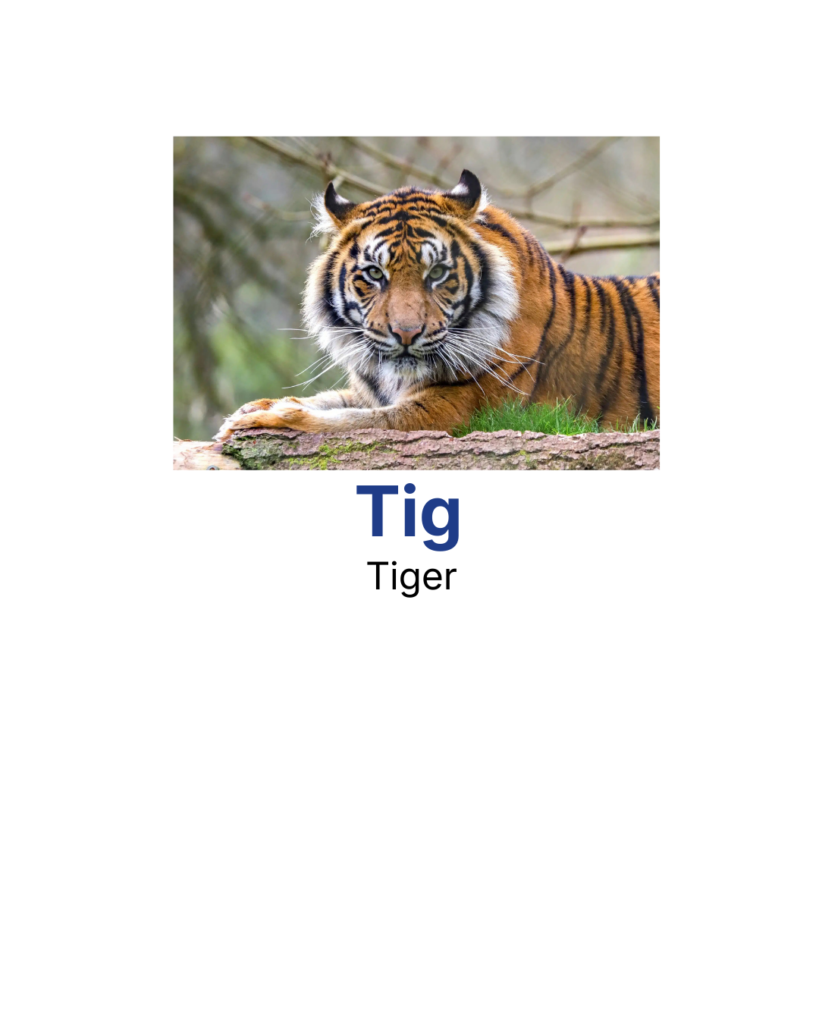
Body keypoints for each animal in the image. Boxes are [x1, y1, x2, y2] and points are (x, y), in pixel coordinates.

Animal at [214, 169, 658, 441]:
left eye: (438, 273)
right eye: (374, 274)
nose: (406, 334)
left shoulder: (452, 409)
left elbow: (348, 423)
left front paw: (265, 418)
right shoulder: (375, 392)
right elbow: (331, 400)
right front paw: (250, 408)